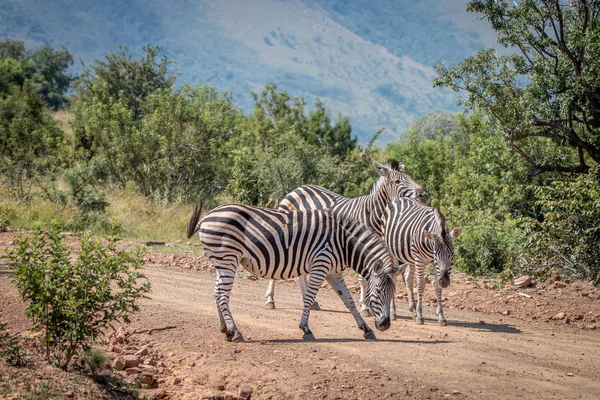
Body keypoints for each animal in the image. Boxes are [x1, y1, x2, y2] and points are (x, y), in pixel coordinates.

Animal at [185, 205, 396, 342]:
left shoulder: (334, 272)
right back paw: (235, 331)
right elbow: (309, 298)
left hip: (221, 262)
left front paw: (366, 329)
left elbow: (348, 301)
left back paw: (225, 330)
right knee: (222, 295)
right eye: (378, 293)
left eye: (392, 293)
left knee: (216, 293)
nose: (385, 325)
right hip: (227, 258)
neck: (343, 243)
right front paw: (306, 329)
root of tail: (208, 215)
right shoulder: (320, 265)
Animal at [264, 159, 428, 310]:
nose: (424, 195)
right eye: (397, 181)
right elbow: (364, 278)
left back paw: (311, 302)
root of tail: (299, 188)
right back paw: (270, 300)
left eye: (410, 177)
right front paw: (365, 306)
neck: (372, 215)